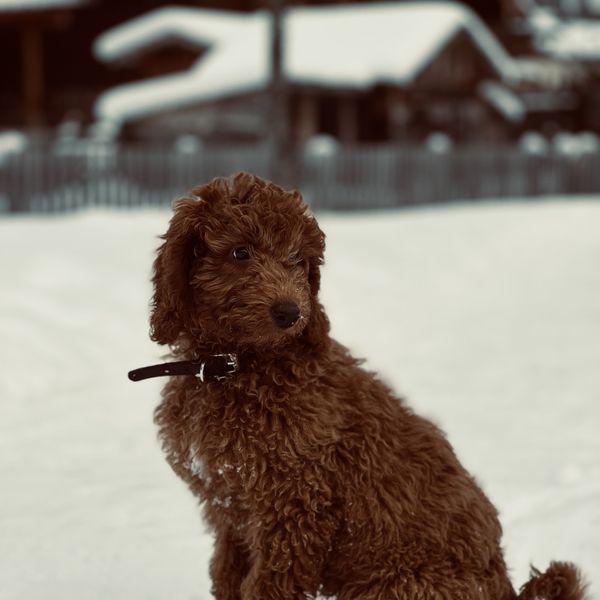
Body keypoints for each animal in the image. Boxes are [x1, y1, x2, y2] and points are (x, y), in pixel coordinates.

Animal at [145, 173, 584, 600]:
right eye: (240, 252)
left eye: (297, 259)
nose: (291, 313)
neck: (233, 368)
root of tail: (504, 587)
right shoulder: (228, 509)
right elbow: (226, 574)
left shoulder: (294, 506)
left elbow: (270, 584)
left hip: (399, 584)